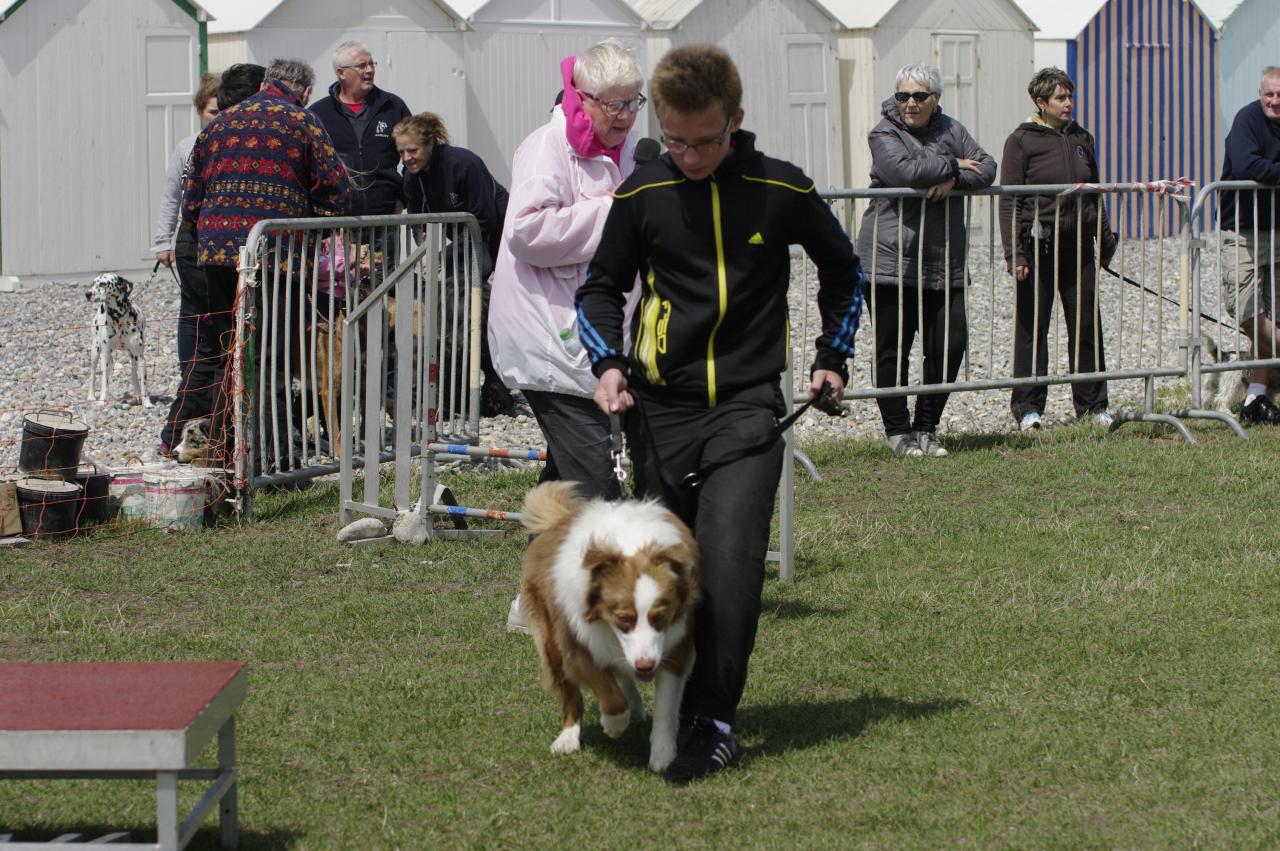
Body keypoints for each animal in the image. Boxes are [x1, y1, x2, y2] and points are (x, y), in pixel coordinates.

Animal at [83, 272, 149, 404]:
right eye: (93, 283)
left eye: (103, 284)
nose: (88, 294)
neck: (118, 318)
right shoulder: (105, 354)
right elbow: (104, 381)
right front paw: (102, 400)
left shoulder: (140, 356)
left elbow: (143, 382)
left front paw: (147, 403)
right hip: (96, 352)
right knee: (93, 374)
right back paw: (91, 396)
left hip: (133, 356)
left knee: (133, 373)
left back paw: (137, 395)